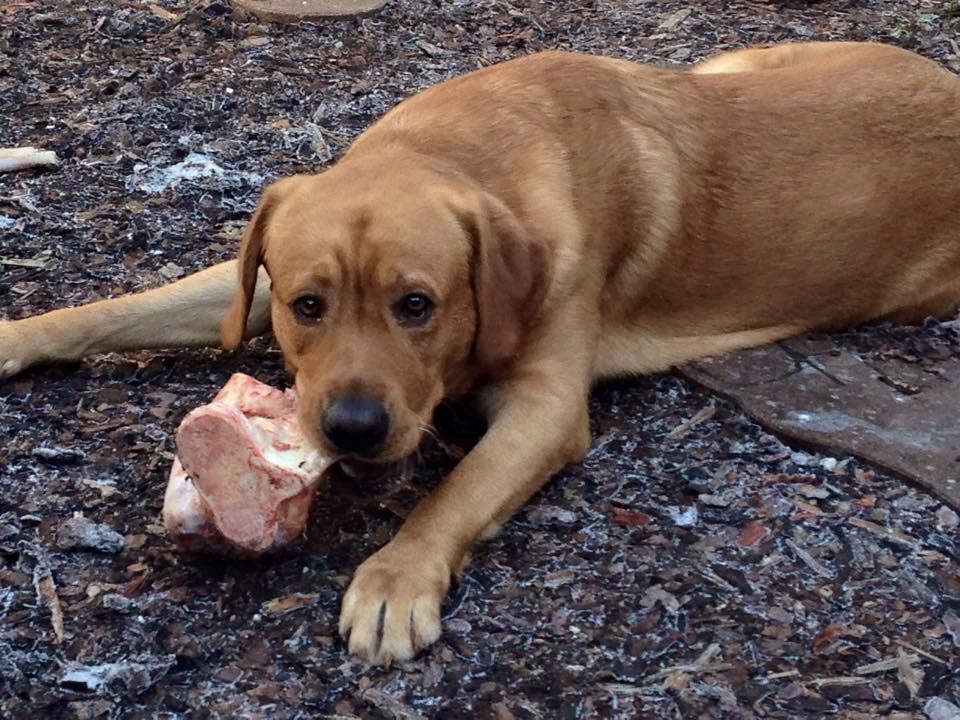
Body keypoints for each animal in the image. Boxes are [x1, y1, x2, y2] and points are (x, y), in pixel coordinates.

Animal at [1, 42, 960, 664]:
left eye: (417, 306)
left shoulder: (546, 409)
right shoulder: (254, 289)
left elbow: (456, 489)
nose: (351, 429)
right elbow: (125, 307)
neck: (461, 147)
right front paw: (18, 335)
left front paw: (396, 576)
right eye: (310, 306)